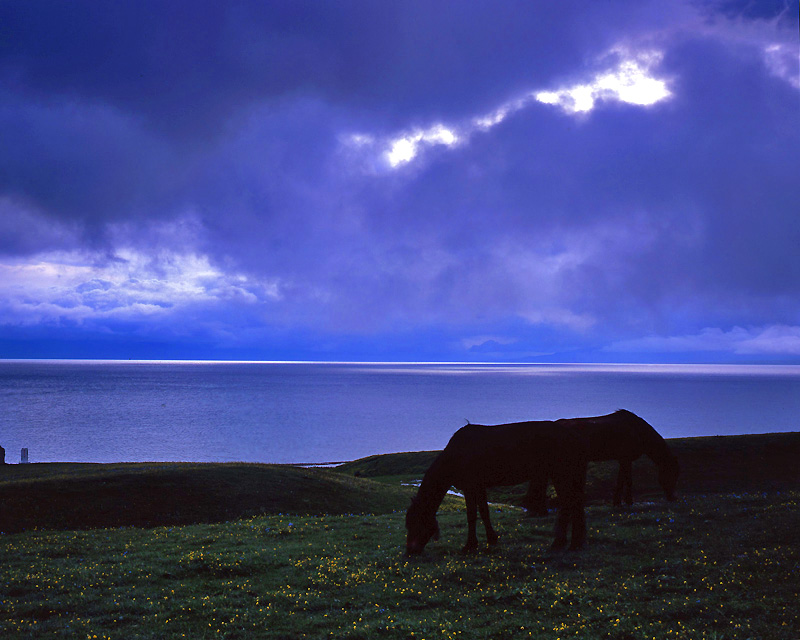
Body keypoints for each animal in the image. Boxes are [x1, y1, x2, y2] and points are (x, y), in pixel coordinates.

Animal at [410, 420, 592, 556]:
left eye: (415, 524)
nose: (409, 552)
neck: (456, 455)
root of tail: (575, 436)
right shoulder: (479, 487)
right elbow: (484, 512)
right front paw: (491, 539)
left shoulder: (470, 487)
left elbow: (471, 515)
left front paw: (470, 545)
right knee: (573, 505)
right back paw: (570, 543)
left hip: (561, 474)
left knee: (569, 504)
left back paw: (564, 543)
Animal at [520, 410, 680, 516]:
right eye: (671, 474)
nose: (673, 498)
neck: (637, 430)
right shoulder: (626, 459)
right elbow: (627, 481)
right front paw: (627, 502)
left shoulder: (623, 460)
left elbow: (621, 480)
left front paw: (618, 502)